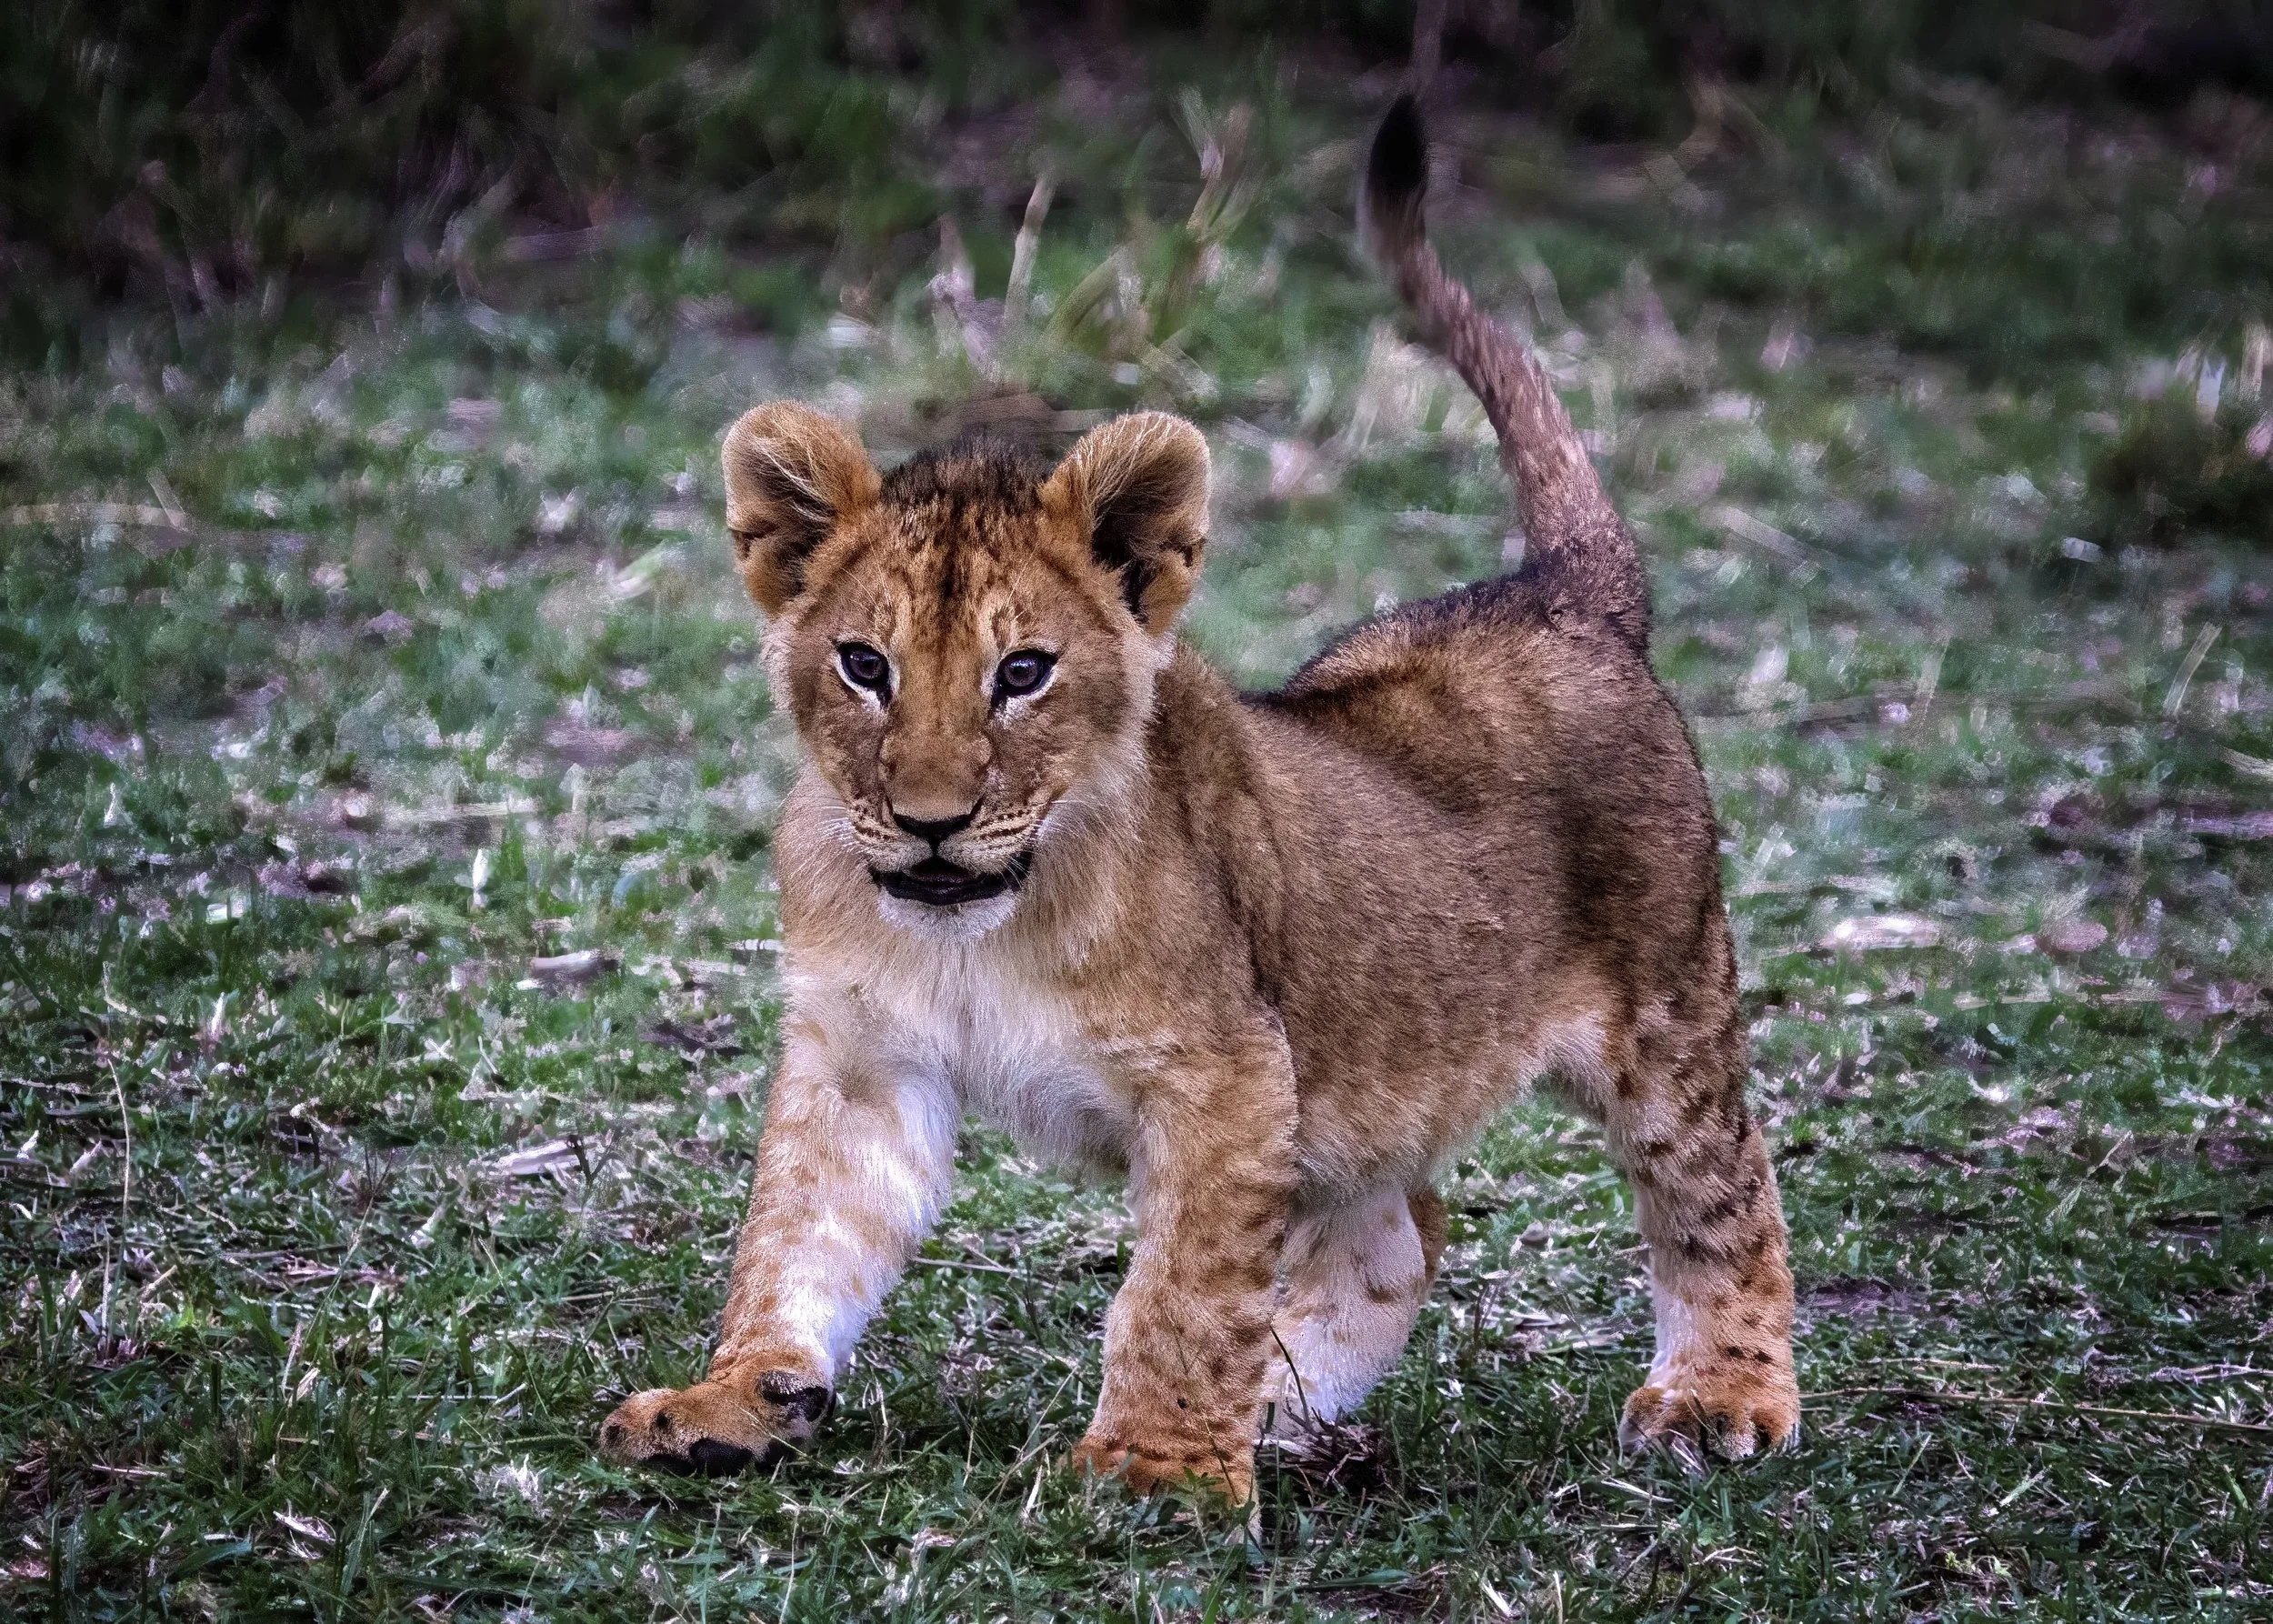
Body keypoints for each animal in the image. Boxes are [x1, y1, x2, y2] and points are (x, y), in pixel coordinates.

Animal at [598, 96, 1799, 1499]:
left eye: (1023, 671)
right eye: (863, 665)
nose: (932, 821)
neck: (980, 923)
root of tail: (1561, 593)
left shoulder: (1227, 1076)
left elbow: (1180, 1288)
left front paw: (1158, 1468)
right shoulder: (861, 1055)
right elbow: (797, 1235)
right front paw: (733, 1397)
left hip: (1667, 1009)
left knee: (1725, 1197)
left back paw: (1717, 1400)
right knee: (1402, 1225)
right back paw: (1289, 1413)